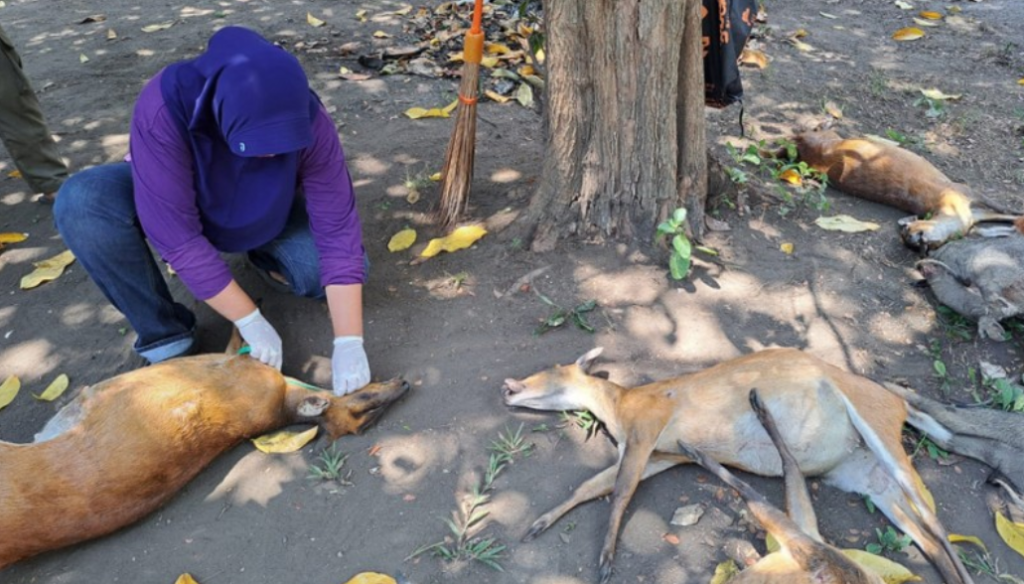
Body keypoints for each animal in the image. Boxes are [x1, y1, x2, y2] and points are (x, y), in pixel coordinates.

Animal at [790, 128, 1015, 248]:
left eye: (912, 229)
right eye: (907, 235)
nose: (914, 240)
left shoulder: (970, 199)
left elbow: (1004, 213)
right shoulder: (966, 197)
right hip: (827, 139)